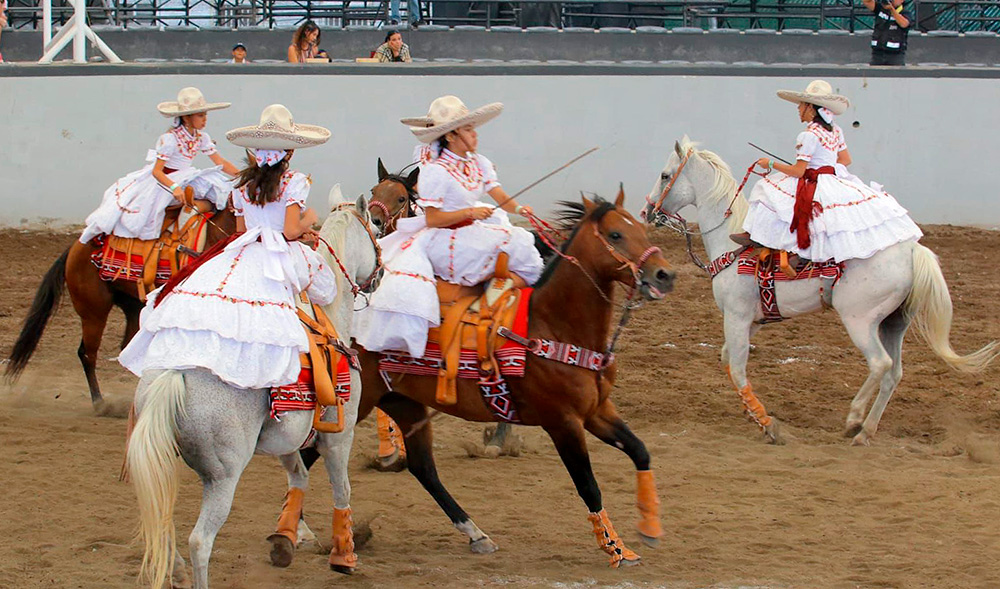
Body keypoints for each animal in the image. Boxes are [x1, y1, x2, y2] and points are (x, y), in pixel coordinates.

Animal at [126, 193, 380, 589]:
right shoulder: (341, 435)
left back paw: (175, 567)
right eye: (377, 229)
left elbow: (298, 476)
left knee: (162, 520)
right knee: (199, 541)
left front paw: (286, 539)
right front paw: (344, 555)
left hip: (164, 461)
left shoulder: (286, 438)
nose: (380, 273)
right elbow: (342, 489)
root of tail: (174, 373)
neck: (328, 318)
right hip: (223, 477)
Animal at [349, 191, 676, 567]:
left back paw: (476, 534)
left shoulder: (597, 411)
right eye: (615, 235)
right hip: (361, 402)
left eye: (640, 229)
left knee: (423, 468)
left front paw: (649, 529)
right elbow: (588, 486)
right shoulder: (563, 423)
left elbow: (640, 451)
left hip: (405, 404)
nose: (665, 274)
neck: (553, 328)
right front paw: (617, 549)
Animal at [643, 137, 999, 445]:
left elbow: (739, 368)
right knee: (893, 373)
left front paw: (768, 425)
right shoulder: (753, 320)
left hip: (859, 320)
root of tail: (911, 249)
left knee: (880, 364)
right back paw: (865, 431)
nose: (648, 212)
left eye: (664, 175)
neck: (730, 241)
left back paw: (854, 418)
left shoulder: (737, 315)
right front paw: (751, 413)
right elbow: (728, 359)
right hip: (894, 323)